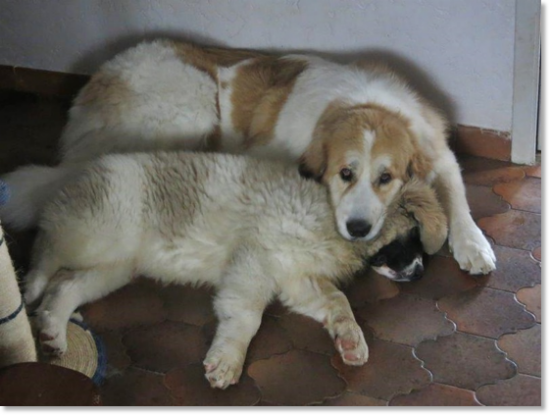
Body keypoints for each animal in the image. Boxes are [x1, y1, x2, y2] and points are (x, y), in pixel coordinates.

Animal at [0, 38, 498, 272]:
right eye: (345, 174)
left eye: (386, 178)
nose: (358, 228)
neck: (363, 103)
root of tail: (92, 86)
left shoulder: (437, 149)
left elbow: (458, 197)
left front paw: (473, 244)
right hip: (193, 103)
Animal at [22, 151, 448, 388]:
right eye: (411, 235)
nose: (419, 273)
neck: (332, 217)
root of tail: (76, 171)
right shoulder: (255, 260)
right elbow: (247, 317)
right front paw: (229, 359)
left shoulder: (295, 276)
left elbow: (338, 301)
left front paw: (350, 339)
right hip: (96, 231)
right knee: (45, 247)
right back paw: (29, 288)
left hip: (114, 264)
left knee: (65, 285)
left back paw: (53, 332)